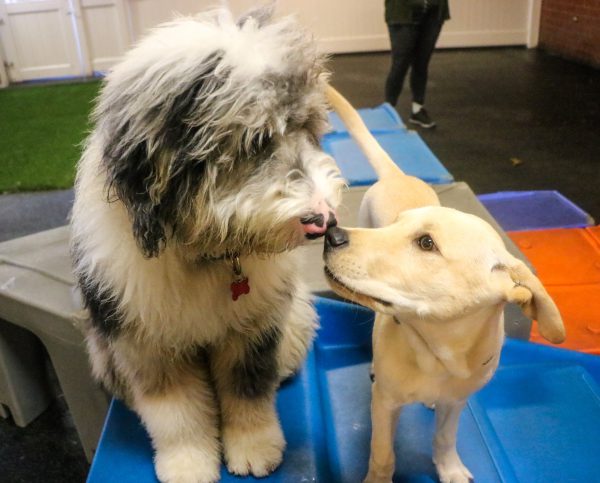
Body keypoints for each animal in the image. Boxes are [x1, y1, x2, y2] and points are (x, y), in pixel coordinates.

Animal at [70, 8, 342, 483]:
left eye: (307, 128)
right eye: (255, 141)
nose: (322, 219)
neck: (207, 250)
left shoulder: (253, 330)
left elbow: (248, 391)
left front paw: (253, 449)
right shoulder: (145, 344)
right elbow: (174, 413)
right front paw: (188, 464)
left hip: (296, 320)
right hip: (104, 353)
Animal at [326, 88, 564, 483]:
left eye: (426, 244)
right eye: (396, 225)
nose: (331, 236)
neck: (438, 351)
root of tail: (398, 174)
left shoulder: (457, 402)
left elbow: (445, 437)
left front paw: (449, 468)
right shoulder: (384, 404)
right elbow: (383, 454)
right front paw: (379, 477)